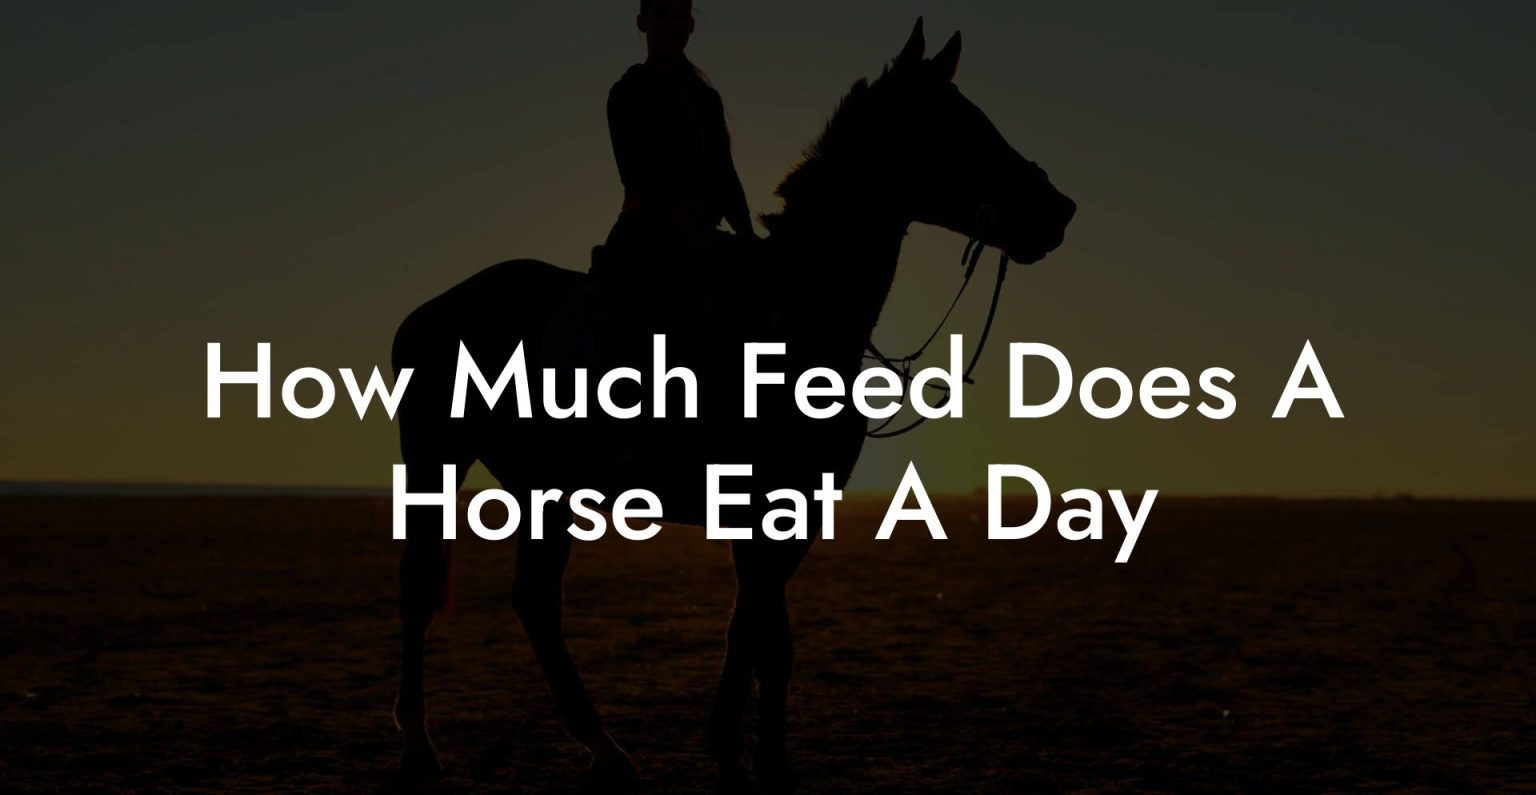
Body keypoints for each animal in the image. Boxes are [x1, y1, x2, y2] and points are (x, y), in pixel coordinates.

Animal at [390, 18, 1076, 792]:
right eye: (954, 126)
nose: (1058, 210)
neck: (793, 311)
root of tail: (431, 311)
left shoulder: (792, 508)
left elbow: (760, 632)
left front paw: (749, 753)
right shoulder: (762, 504)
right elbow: (761, 632)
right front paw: (749, 755)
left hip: (547, 488)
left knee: (534, 600)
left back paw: (606, 750)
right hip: (438, 462)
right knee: (422, 589)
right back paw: (422, 748)